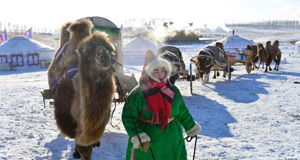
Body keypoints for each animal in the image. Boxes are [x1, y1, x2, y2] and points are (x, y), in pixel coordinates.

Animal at [47, 18, 116, 159]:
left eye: (110, 49)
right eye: (87, 52)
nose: (103, 54)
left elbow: (85, 146)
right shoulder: (67, 116)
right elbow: (80, 144)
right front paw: (77, 152)